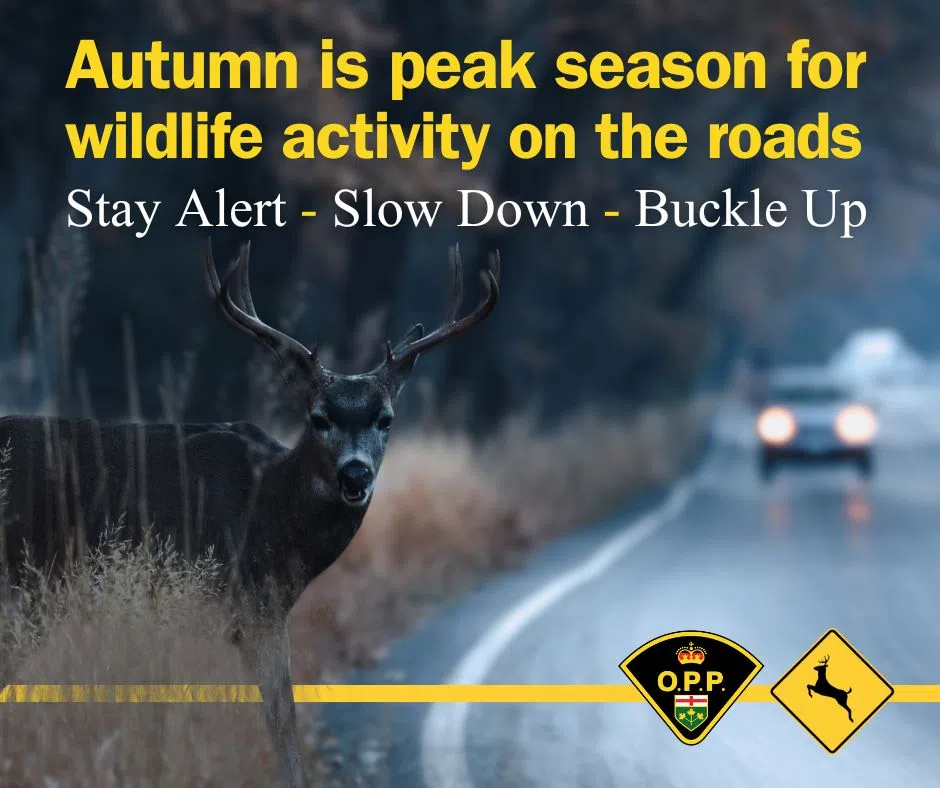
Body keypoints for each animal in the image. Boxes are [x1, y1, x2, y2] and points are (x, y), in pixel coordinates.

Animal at [0, 239, 500, 788]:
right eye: (319, 417)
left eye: (385, 418)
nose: (355, 475)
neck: (272, 514)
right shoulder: (227, 599)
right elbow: (264, 712)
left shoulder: (244, 608)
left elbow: (268, 709)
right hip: (27, 582)